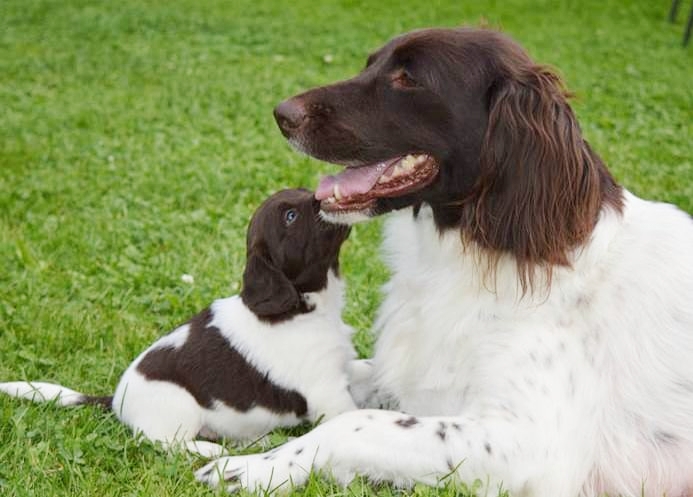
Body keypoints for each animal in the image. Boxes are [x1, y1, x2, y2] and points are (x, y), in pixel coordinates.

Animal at [0, 189, 356, 458]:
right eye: (290, 216)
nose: (323, 196)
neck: (306, 307)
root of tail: (114, 400)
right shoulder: (328, 391)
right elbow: (350, 415)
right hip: (178, 405)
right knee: (165, 443)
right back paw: (210, 450)